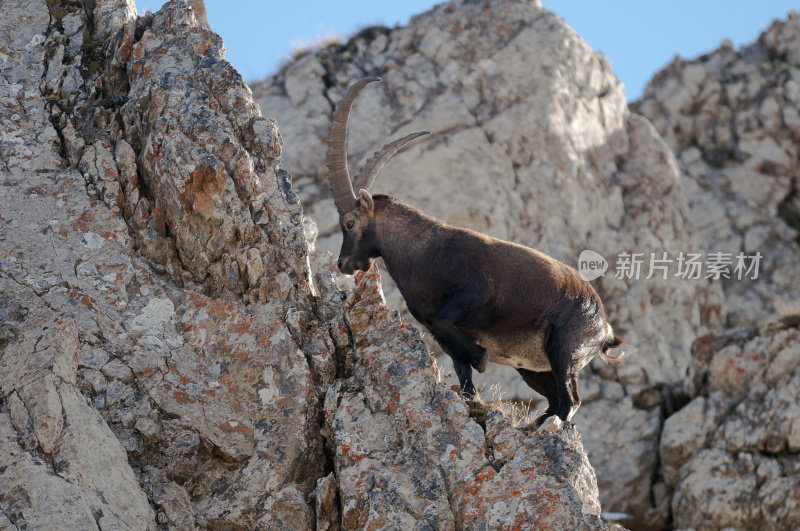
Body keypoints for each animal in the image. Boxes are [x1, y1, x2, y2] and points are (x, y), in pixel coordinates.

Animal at [326, 77, 624, 426]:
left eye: (349, 223)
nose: (343, 263)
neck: (419, 252)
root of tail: (604, 328)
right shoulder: (437, 331)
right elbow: (459, 365)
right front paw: (470, 394)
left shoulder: (475, 295)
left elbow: (450, 327)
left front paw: (481, 356)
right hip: (533, 368)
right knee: (554, 400)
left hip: (565, 349)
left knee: (570, 401)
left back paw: (549, 426)